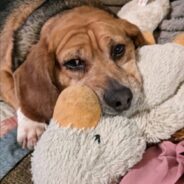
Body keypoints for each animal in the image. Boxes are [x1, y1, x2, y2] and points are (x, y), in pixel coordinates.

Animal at [0, 0, 147, 150]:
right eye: (74, 62)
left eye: (118, 49)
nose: (121, 99)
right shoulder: (2, 73)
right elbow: (16, 93)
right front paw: (31, 125)